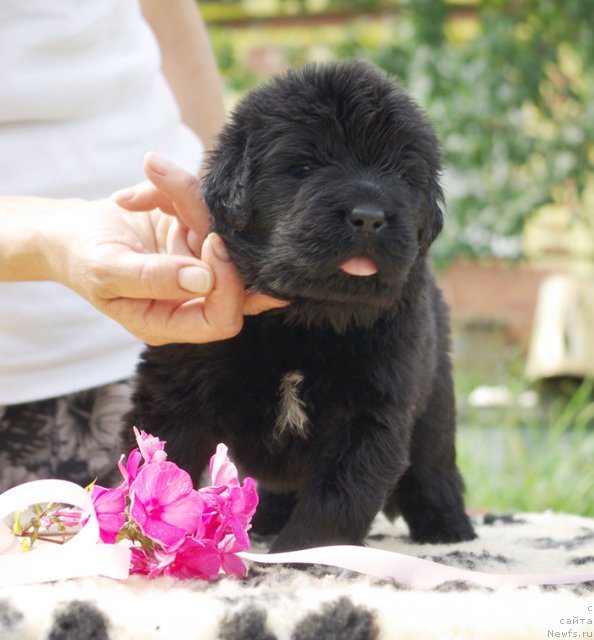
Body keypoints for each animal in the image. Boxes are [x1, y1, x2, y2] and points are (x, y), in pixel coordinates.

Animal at [123, 58, 472, 552]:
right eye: (305, 166)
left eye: (404, 176)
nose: (370, 216)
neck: (305, 319)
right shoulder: (178, 388)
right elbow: (160, 462)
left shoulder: (370, 410)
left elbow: (340, 494)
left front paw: (304, 553)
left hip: (435, 397)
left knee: (433, 467)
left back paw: (447, 528)